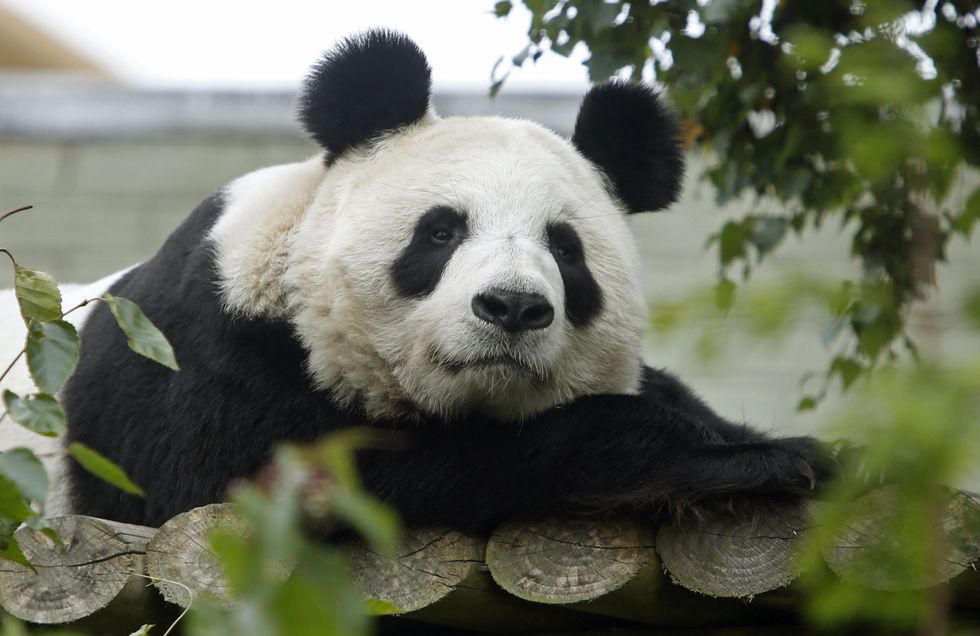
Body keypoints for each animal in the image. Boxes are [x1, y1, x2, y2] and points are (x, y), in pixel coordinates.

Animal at [1, 30, 829, 532]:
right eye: (441, 231)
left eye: (566, 251)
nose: (513, 307)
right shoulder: (203, 362)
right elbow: (328, 481)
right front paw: (739, 462)